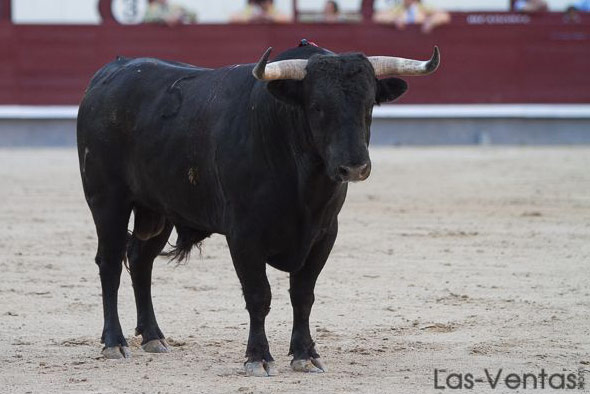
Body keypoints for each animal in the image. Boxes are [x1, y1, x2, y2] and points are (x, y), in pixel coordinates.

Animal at [77, 42, 440, 376]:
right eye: (317, 107)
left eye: (369, 104)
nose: (354, 168)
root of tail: (109, 73)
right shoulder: (243, 235)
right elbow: (258, 295)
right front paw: (258, 357)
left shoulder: (324, 233)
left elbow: (303, 294)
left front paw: (305, 354)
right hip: (107, 201)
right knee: (109, 263)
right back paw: (114, 342)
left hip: (158, 209)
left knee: (140, 260)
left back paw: (153, 336)